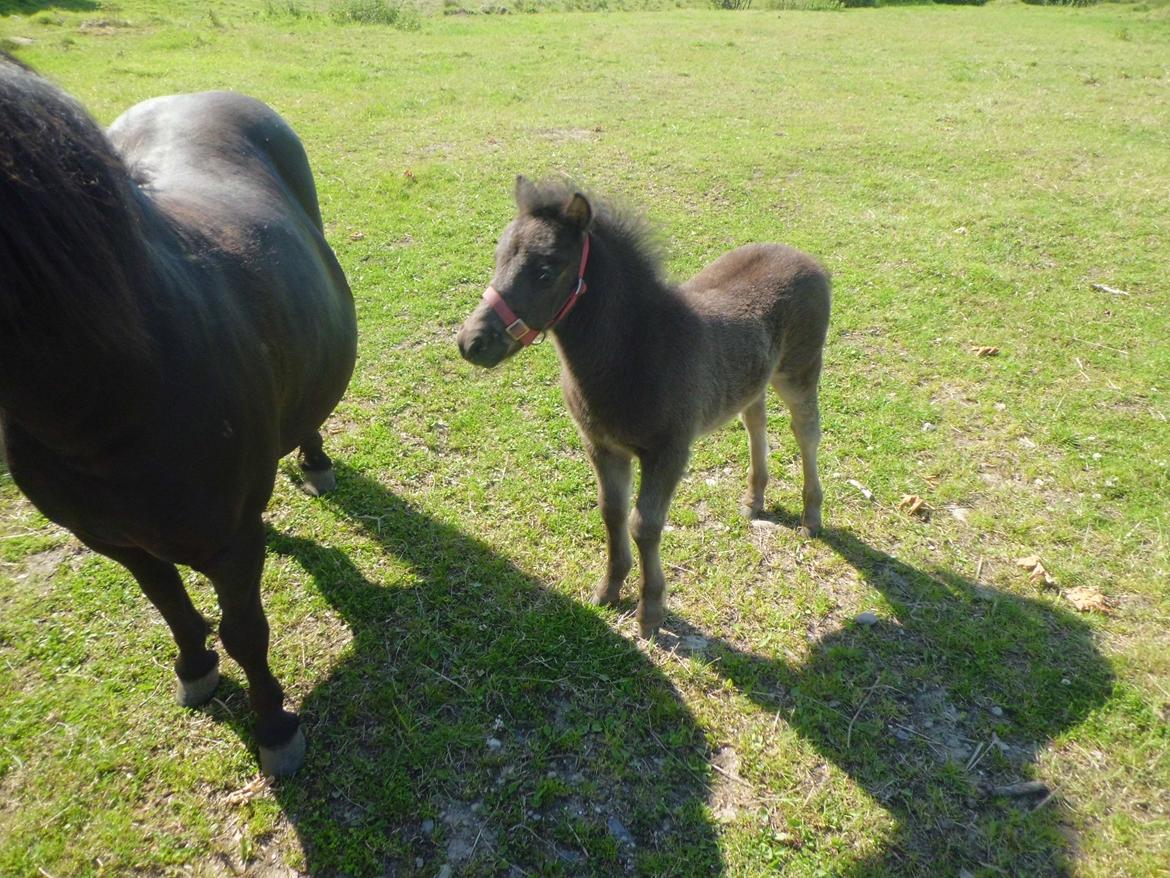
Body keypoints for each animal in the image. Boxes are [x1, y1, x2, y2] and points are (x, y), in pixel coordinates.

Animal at [1, 53, 355, 777]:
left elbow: (247, 632)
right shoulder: (112, 538)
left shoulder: (228, 542)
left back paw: (314, 461)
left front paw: (275, 726)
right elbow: (167, 602)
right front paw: (195, 667)